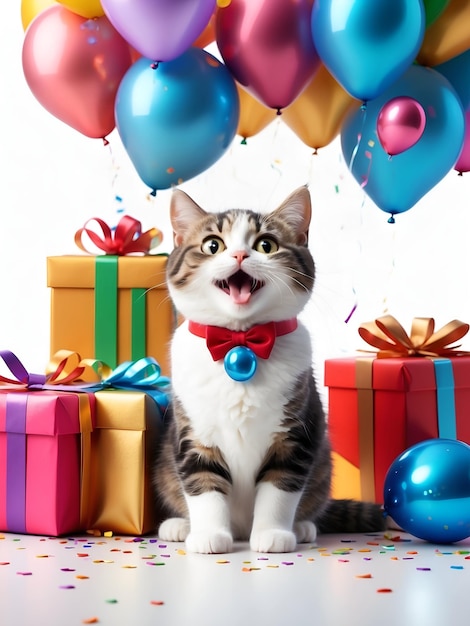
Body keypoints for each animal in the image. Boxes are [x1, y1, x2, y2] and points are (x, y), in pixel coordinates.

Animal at [154, 185, 386, 552]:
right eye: (212, 245)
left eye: (266, 245)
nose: (238, 255)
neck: (240, 342)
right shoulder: (193, 432)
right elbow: (203, 482)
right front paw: (208, 535)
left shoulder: (295, 434)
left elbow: (280, 486)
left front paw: (272, 534)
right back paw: (178, 525)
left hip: (323, 465)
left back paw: (303, 527)